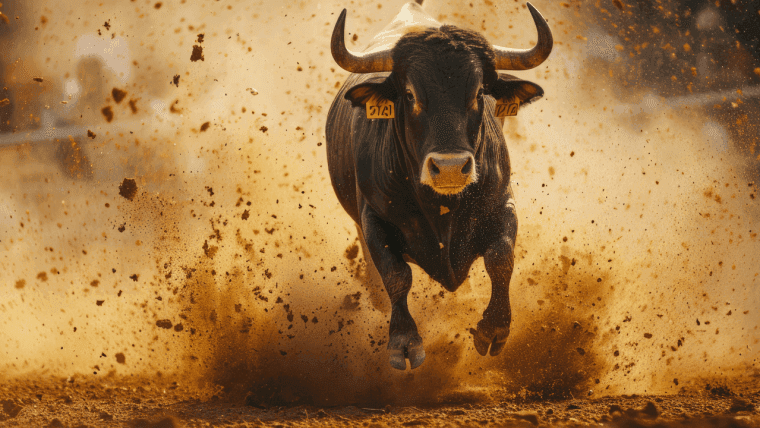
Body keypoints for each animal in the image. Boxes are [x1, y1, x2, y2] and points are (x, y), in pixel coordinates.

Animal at [325, 1, 552, 370]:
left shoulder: (502, 202)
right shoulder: (373, 218)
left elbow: (501, 257)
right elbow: (396, 274)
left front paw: (494, 329)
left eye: (479, 93)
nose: (449, 168)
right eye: (409, 94)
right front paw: (404, 341)